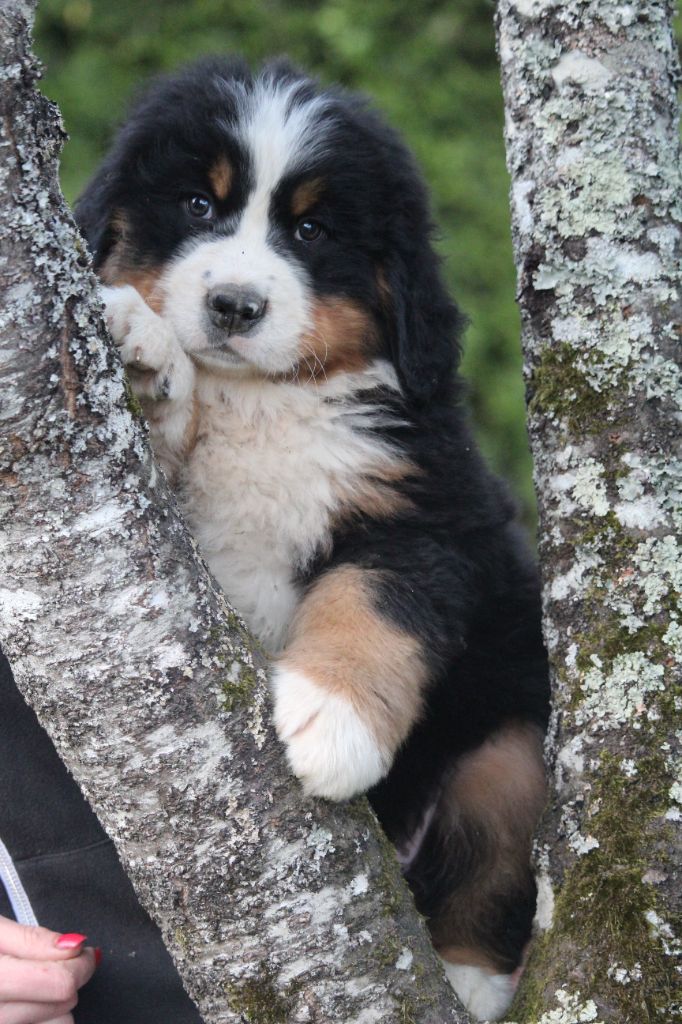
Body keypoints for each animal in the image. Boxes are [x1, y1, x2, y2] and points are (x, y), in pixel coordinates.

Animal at [75, 58, 548, 1024]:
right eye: (197, 204)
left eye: (311, 229)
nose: (234, 305)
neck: (266, 402)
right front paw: (143, 349)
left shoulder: (425, 513)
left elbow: (375, 600)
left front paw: (334, 721)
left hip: (513, 732)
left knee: (493, 850)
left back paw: (470, 981)